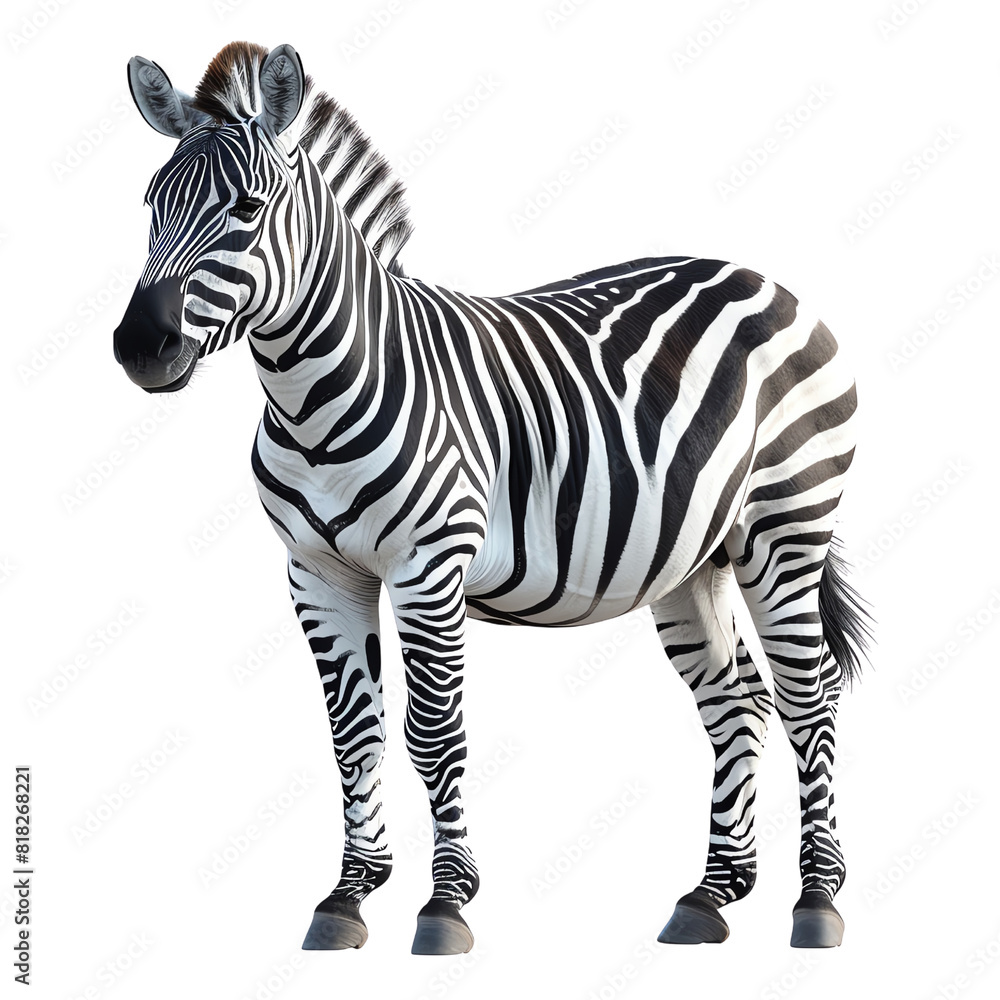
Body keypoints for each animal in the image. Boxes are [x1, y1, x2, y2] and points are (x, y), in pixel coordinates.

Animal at [113, 42, 871, 954]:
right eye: (150, 206)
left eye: (248, 209)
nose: (140, 346)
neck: (313, 396)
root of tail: (763, 278)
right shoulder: (316, 574)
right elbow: (352, 737)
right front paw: (348, 897)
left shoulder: (429, 567)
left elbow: (433, 735)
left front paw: (445, 904)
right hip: (694, 559)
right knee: (738, 700)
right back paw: (713, 895)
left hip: (785, 531)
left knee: (809, 699)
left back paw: (818, 899)